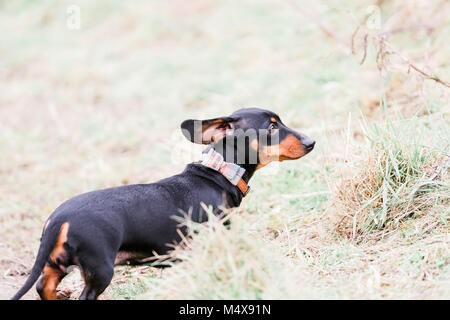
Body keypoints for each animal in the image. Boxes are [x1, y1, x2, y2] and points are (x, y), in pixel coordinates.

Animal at [10, 107, 312, 300]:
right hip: (100, 269)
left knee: (44, 287)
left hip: (58, 263)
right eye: (271, 126)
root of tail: (58, 219)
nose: (312, 141)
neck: (218, 173)